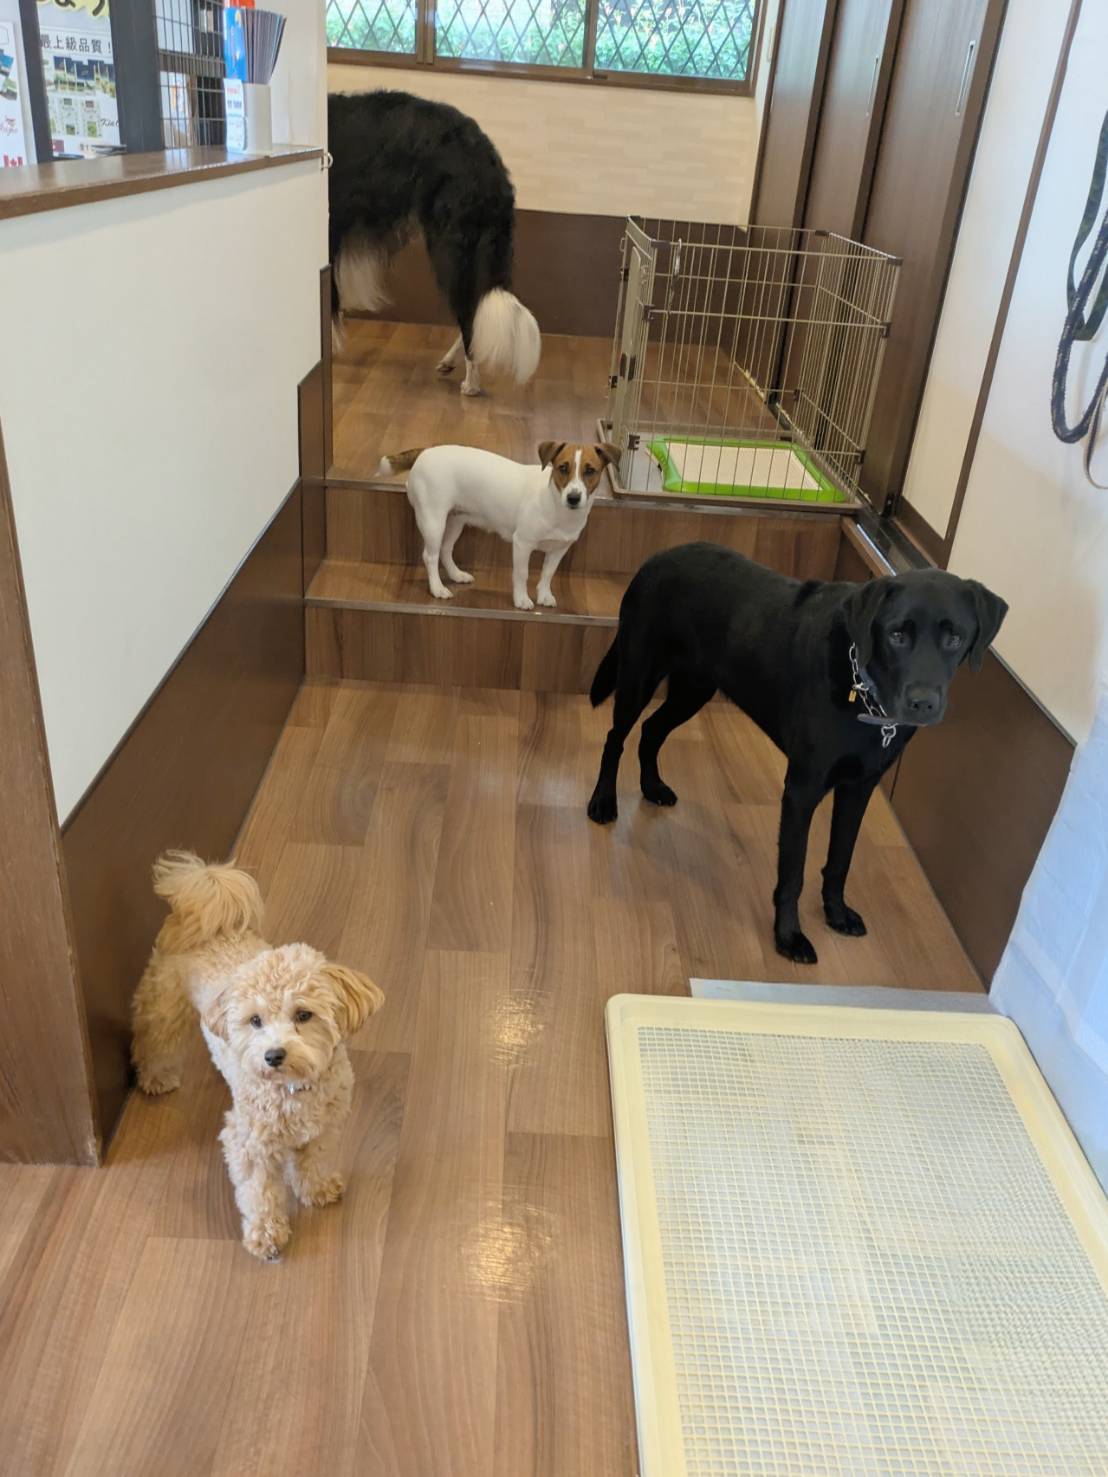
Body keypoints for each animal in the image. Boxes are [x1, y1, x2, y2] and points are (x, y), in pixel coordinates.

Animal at [131, 852, 384, 1261]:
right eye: (255, 1020)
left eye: (303, 1015)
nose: (273, 1055)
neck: (293, 1091)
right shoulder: (249, 1144)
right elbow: (260, 1192)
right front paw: (266, 1235)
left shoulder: (325, 1127)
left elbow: (315, 1159)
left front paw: (317, 1188)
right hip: (165, 1004)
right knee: (155, 1039)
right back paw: (156, 1077)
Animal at [328, 90, 541, 396]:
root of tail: (486, 159)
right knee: (475, 305)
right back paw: (451, 361)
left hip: (449, 245)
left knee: (467, 312)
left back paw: (471, 383)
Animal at [378, 440, 619, 611]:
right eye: (563, 468)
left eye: (590, 471)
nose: (573, 498)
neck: (555, 503)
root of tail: (425, 450)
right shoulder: (522, 544)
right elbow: (522, 574)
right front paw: (521, 599)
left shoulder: (559, 549)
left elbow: (548, 574)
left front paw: (544, 595)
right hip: (433, 521)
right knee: (430, 556)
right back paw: (437, 588)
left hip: (456, 520)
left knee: (446, 550)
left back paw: (456, 575)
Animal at [586, 543, 1008, 964]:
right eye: (897, 635)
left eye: (955, 639)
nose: (922, 704)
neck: (864, 693)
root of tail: (658, 556)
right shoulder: (802, 791)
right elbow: (793, 873)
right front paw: (788, 936)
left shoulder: (858, 788)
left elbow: (840, 859)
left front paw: (836, 913)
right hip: (638, 676)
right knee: (615, 738)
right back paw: (603, 801)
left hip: (694, 688)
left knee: (651, 731)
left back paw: (652, 786)